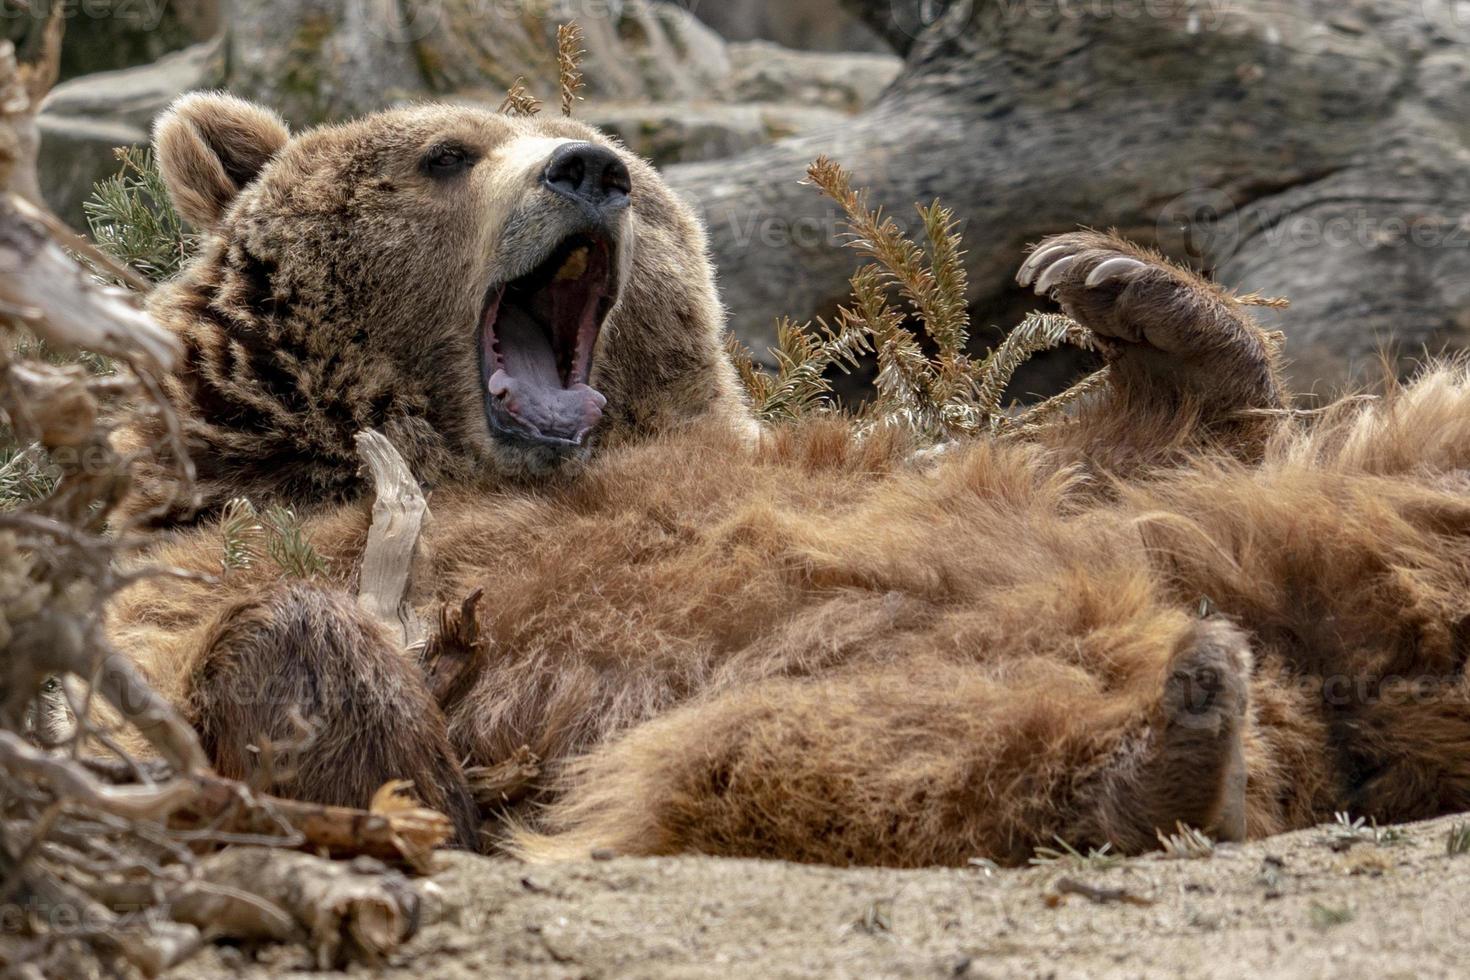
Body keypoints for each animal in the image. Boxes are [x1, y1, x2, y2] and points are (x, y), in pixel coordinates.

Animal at [106, 89, 1470, 858]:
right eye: (446, 153)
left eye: (631, 170)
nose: (589, 167)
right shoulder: (199, 550)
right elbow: (218, 678)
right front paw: (344, 673)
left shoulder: (815, 458)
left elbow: (1010, 458)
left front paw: (1123, 292)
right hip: (807, 694)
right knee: (835, 754)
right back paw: (1172, 737)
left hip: (1261, 521)